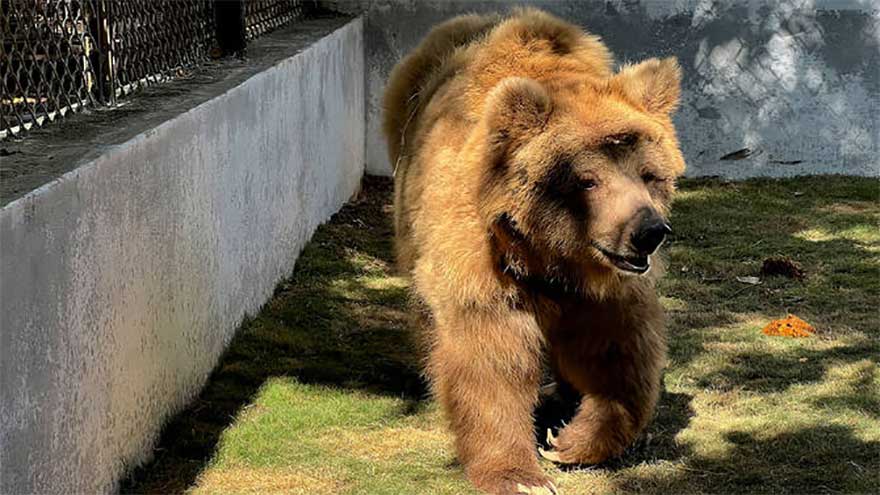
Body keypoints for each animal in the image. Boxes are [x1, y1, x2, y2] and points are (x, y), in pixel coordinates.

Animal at [382, 8, 685, 495]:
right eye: (588, 180)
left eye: (649, 174)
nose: (648, 232)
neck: (551, 252)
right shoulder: (481, 256)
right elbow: (490, 356)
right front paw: (520, 476)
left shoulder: (606, 288)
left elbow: (617, 350)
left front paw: (569, 440)